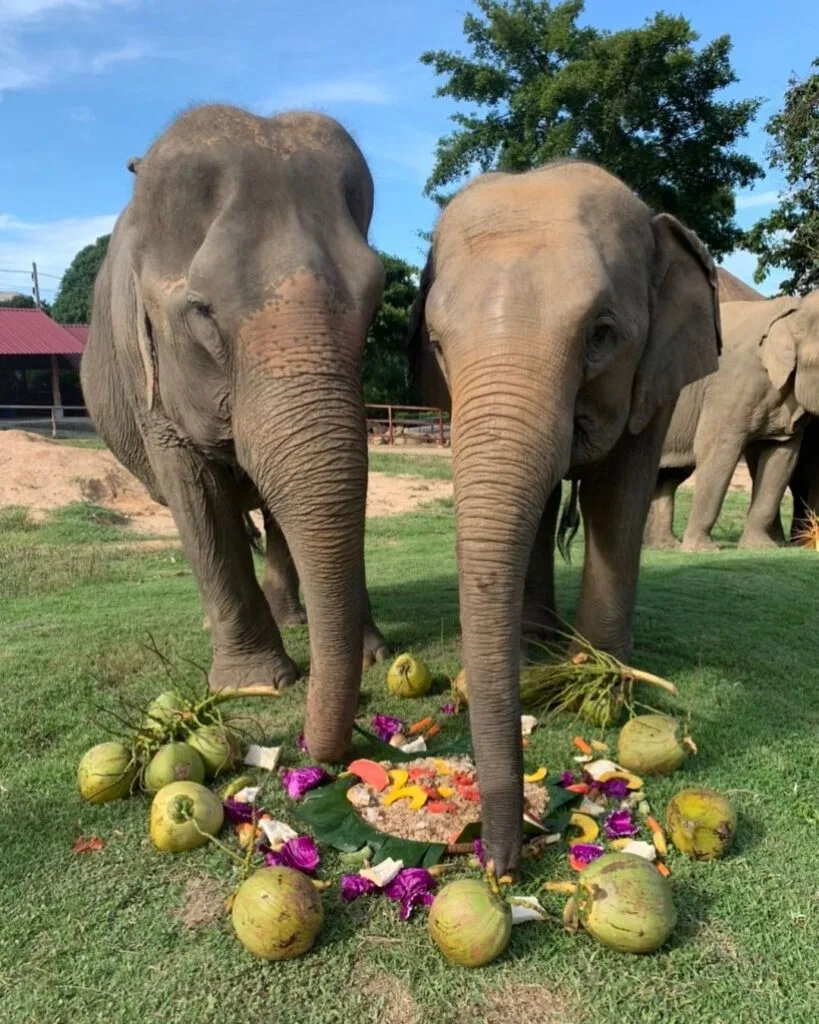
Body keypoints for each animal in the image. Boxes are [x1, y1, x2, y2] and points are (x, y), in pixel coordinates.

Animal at [81, 103, 389, 762]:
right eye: (201, 310)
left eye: (376, 298)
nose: (316, 746)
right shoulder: (152, 393)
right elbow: (197, 499)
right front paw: (255, 683)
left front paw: (371, 653)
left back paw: (294, 619)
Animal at [407, 159, 721, 875]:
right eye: (436, 343)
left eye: (602, 335)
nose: (495, 863)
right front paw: (540, 654)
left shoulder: (654, 379)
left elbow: (617, 494)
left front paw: (598, 673)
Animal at [645, 288, 819, 550]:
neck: (794, 309)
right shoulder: (729, 388)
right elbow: (717, 448)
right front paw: (701, 550)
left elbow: (781, 457)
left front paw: (762, 547)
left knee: (668, 477)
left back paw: (664, 547)